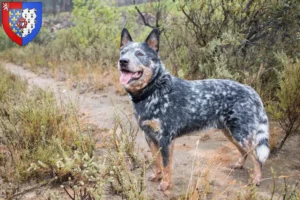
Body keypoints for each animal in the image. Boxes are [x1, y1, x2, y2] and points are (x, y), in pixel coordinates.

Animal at [117, 27, 270, 191]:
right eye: (123, 52)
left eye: (139, 54)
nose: (123, 61)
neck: (154, 90)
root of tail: (251, 90)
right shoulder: (149, 136)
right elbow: (157, 162)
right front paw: (157, 176)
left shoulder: (166, 139)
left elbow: (166, 165)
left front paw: (165, 183)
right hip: (231, 133)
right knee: (244, 152)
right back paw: (239, 165)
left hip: (241, 134)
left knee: (257, 158)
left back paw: (256, 179)